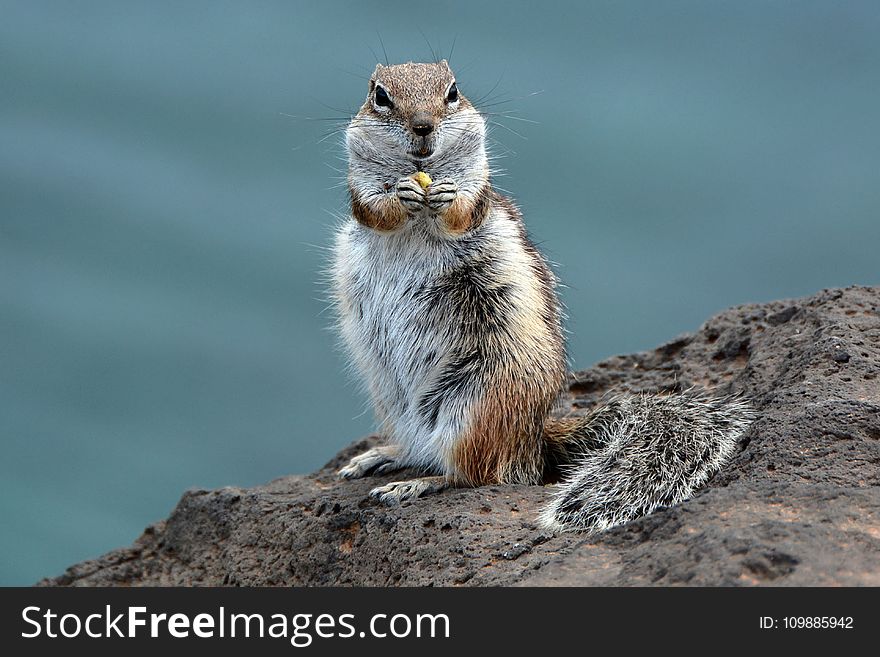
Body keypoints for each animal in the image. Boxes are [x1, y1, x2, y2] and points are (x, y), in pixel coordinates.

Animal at [332, 60, 756, 532]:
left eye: (453, 92)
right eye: (380, 96)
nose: (423, 127)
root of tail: (533, 443)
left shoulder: (478, 189)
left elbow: (463, 210)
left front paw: (445, 196)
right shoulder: (359, 187)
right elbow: (374, 209)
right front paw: (399, 195)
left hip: (475, 407)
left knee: (477, 474)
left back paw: (417, 484)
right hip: (394, 401)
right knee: (426, 451)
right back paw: (381, 457)